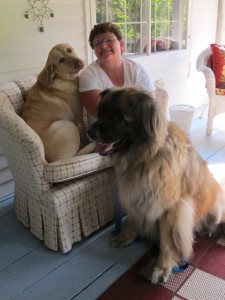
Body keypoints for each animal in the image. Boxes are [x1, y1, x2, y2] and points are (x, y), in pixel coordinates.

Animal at [87, 87, 225, 284]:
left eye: (119, 117)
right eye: (102, 111)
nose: (90, 133)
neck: (144, 158)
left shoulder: (169, 209)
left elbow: (167, 242)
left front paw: (162, 267)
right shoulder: (133, 194)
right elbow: (133, 218)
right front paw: (127, 237)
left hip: (216, 208)